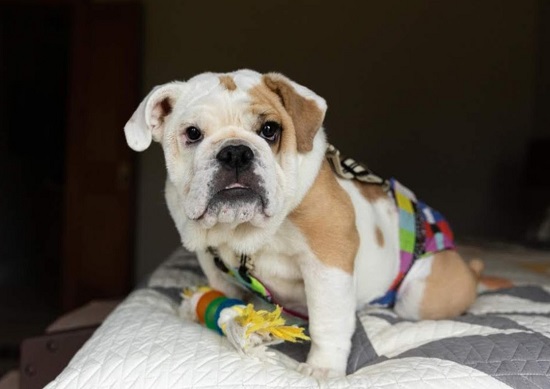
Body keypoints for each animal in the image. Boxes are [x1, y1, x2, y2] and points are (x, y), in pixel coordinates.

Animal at [124, 69, 484, 376]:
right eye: (193, 134)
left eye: (269, 130)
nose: (235, 152)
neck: (245, 232)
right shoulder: (212, 262)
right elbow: (223, 293)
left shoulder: (328, 262)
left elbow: (328, 320)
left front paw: (322, 369)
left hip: (419, 295)